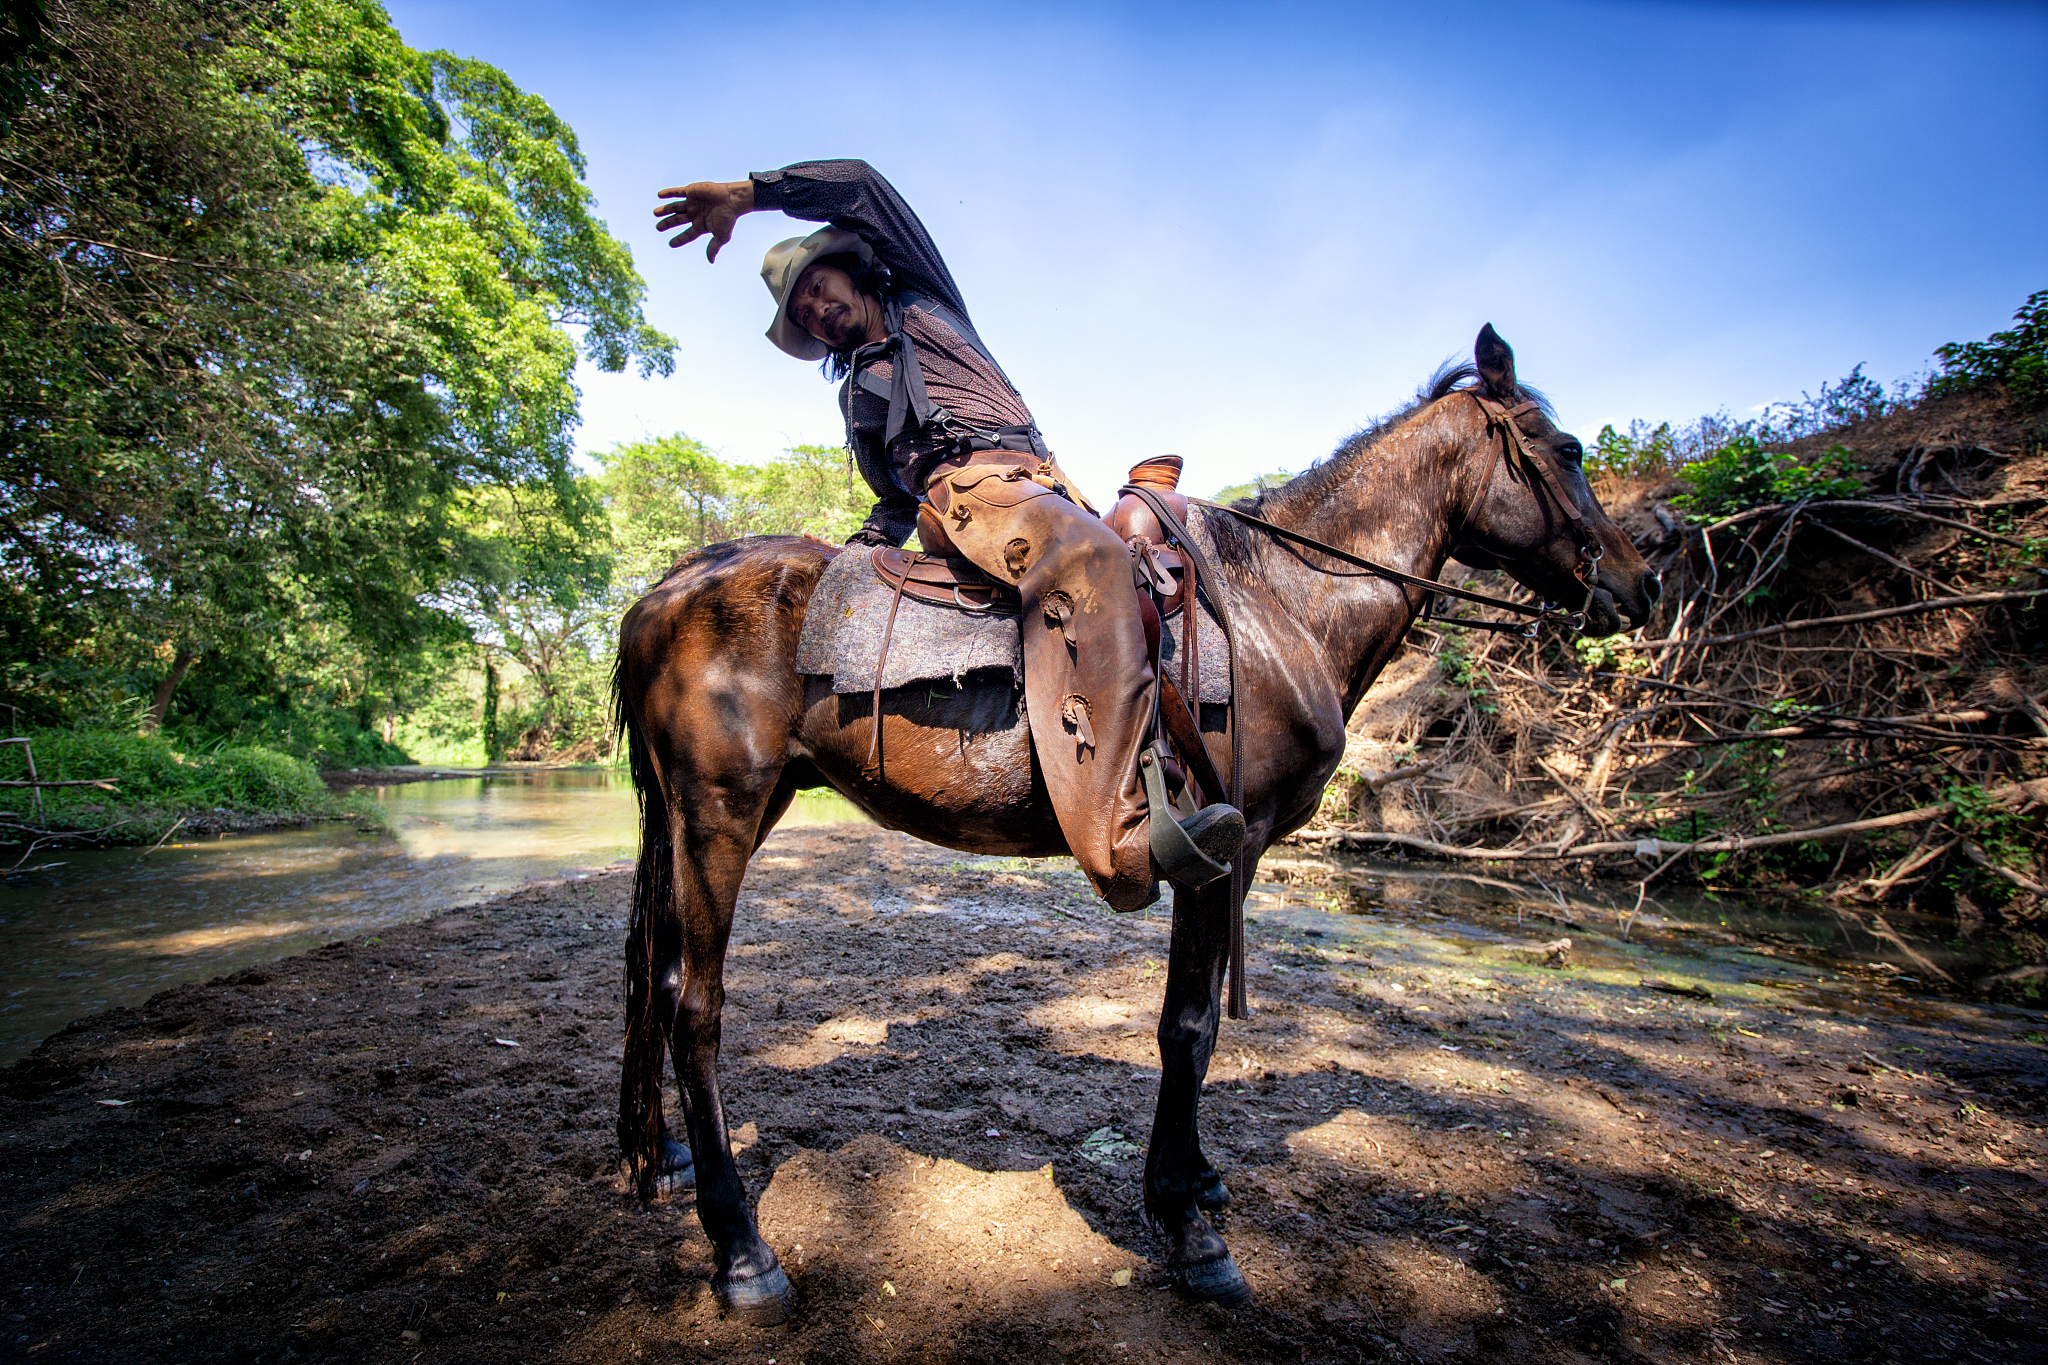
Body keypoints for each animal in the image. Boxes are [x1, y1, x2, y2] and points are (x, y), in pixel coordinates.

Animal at [610, 325, 1658, 1323]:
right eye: (1567, 449)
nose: (1643, 583)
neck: (1281, 603)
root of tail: (666, 588)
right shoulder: (1223, 848)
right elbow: (1188, 1025)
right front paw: (1189, 1228)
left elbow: (1199, 1027)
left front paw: (1196, 1182)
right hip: (720, 814)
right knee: (695, 1006)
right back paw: (742, 1251)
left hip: (705, 818)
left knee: (654, 977)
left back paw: (661, 1159)